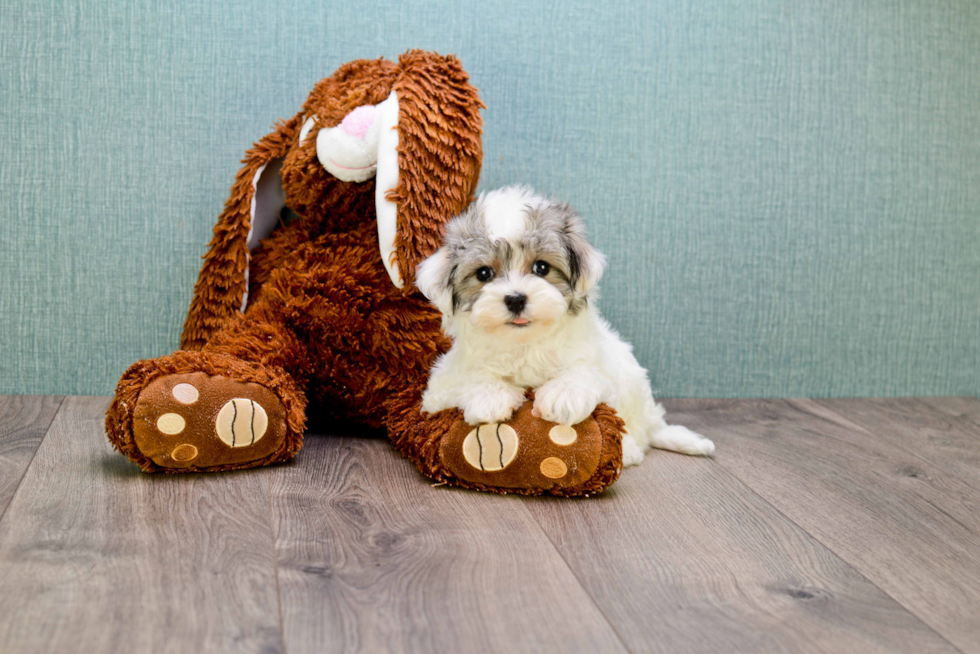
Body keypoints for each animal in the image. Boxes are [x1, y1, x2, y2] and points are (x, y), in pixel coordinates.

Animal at [414, 187, 712, 468]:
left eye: (541, 267)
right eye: (484, 273)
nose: (516, 299)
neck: (523, 342)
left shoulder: (596, 361)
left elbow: (586, 372)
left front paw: (563, 395)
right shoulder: (439, 387)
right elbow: (468, 377)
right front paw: (489, 397)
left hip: (632, 382)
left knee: (636, 427)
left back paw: (629, 449)